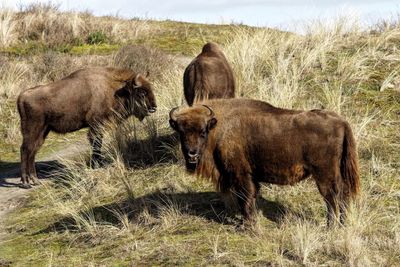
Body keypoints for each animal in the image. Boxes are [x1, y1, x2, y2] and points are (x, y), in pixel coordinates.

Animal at [17, 67, 158, 188]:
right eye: (142, 92)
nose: (153, 108)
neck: (115, 89)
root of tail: (22, 96)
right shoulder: (96, 125)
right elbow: (96, 144)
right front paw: (97, 164)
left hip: (43, 132)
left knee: (32, 152)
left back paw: (35, 180)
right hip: (33, 130)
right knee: (25, 150)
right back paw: (26, 182)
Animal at [169, 98, 360, 228]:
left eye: (202, 132)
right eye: (182, 132)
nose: (192, 153)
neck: (219, 127)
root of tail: (340, 121)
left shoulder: (241, 175)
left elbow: (245, 199)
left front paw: (248, 225)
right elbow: (249, 198)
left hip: (324, 174)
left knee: (332, 197)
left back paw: (331, 226)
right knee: (343, 194)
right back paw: (342, 224)